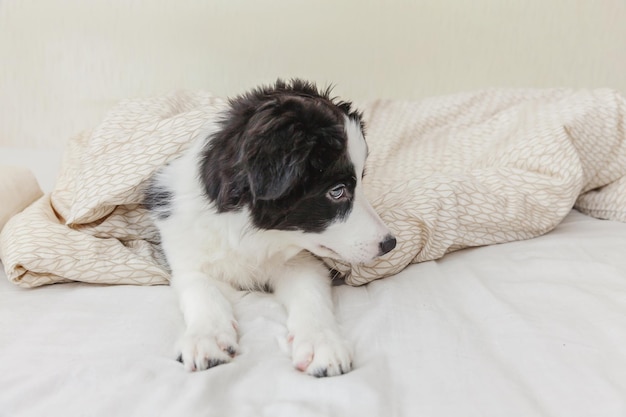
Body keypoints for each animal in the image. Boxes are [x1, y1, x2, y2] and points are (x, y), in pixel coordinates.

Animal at [145, 79, 394, 376]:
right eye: (337, 191)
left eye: (361, 181)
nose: (390, 243)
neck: (260, 237)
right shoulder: (188, 257)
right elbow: (201, 288)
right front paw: (206, 338)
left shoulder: (302, 262)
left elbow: (310, 296)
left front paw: (321, 343)